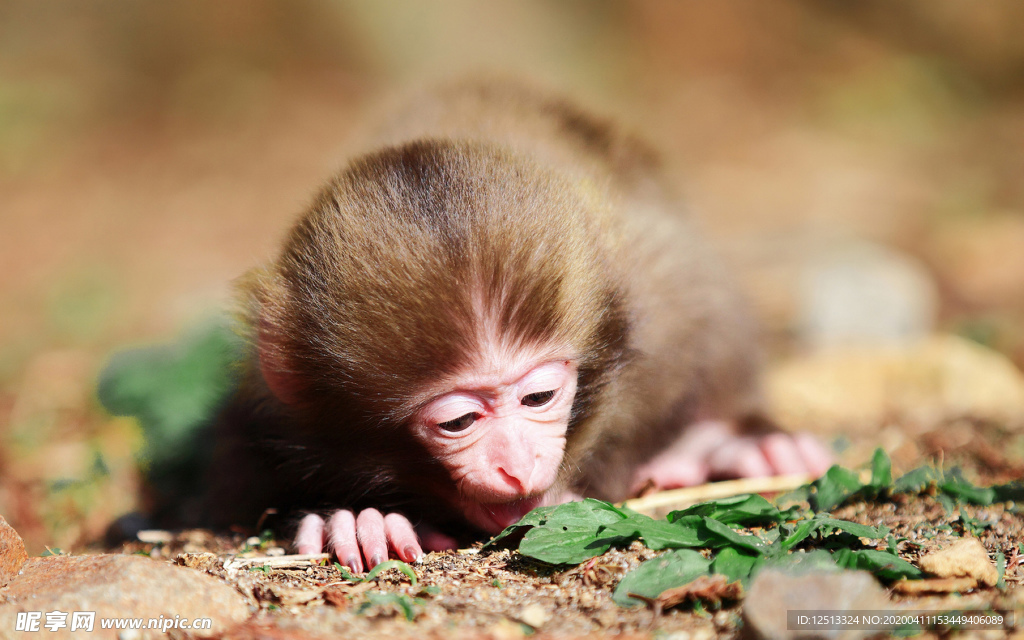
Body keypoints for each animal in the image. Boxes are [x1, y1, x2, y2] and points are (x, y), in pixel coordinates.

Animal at [226, 79, 831, 569]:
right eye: (458, 422)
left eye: (539, 398)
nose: (516, 468)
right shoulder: (268, 407)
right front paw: (354, 520)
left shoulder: (662, 296)